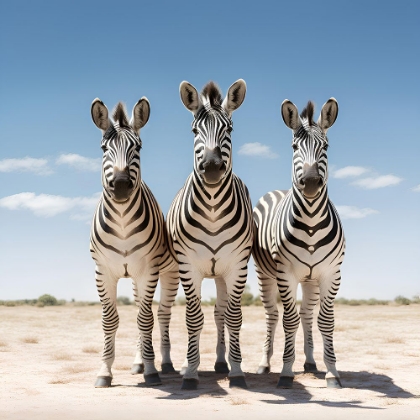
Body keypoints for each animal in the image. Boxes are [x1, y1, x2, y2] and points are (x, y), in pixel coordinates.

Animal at [90, 97, 179, 388]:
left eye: (138, 147)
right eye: (103, 148)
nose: (120, 185)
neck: (122, 222)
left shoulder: (148, 270)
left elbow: (144, 318)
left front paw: (152, 371)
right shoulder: (103, 271)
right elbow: (110, 320)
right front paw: (104, 372)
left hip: (169, 273)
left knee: (160, 315)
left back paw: (163, 364)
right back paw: (139, 362)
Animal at [167, 79, 253, 390]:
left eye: (229, 129)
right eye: (194, 131)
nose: (213, 167)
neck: (214, 209)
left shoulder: (237, 266)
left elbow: (233, 317)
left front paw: (236, 370)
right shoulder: (188, 266)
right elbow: (193, 318)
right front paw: (191, 373)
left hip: (221, 274)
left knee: (220, 314)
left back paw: (220, 363)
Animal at [253, 97, 344, 388]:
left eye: (325, 146)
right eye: (294, 147)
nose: (312, 182)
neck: (312, 223)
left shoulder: (331, 273)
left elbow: (325, 321)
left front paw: (332, 372)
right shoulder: (286, 274)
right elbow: (288, 321)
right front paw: (285, 371)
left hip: (310, 278)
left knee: (306, 315)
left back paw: (311, 362)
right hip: (265, 275)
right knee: (273, 315)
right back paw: (264, 363)